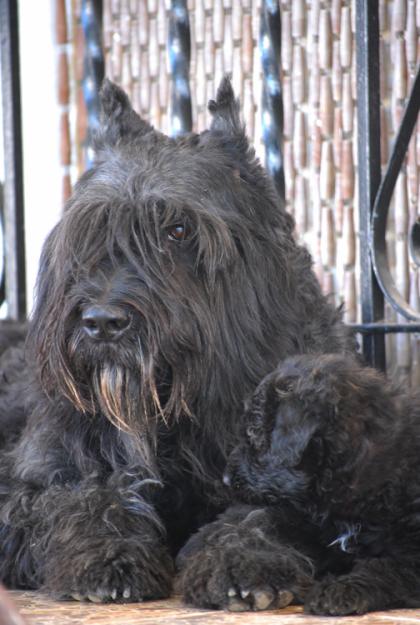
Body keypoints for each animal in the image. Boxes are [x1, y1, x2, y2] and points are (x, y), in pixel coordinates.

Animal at [0, 80, 354, 604]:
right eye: (90, 231)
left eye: (179, 229)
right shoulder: (33, 481)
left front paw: (242, 561)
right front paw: (107, 558)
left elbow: (265, 512)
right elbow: (80, 497)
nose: (102, 323)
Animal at [186, 354, 420, 612]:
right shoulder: (304, 524)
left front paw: (341, 590)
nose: (225, 479)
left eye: (255, 436)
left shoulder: (411, 545)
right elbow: (265, 530)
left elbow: (388, 567)